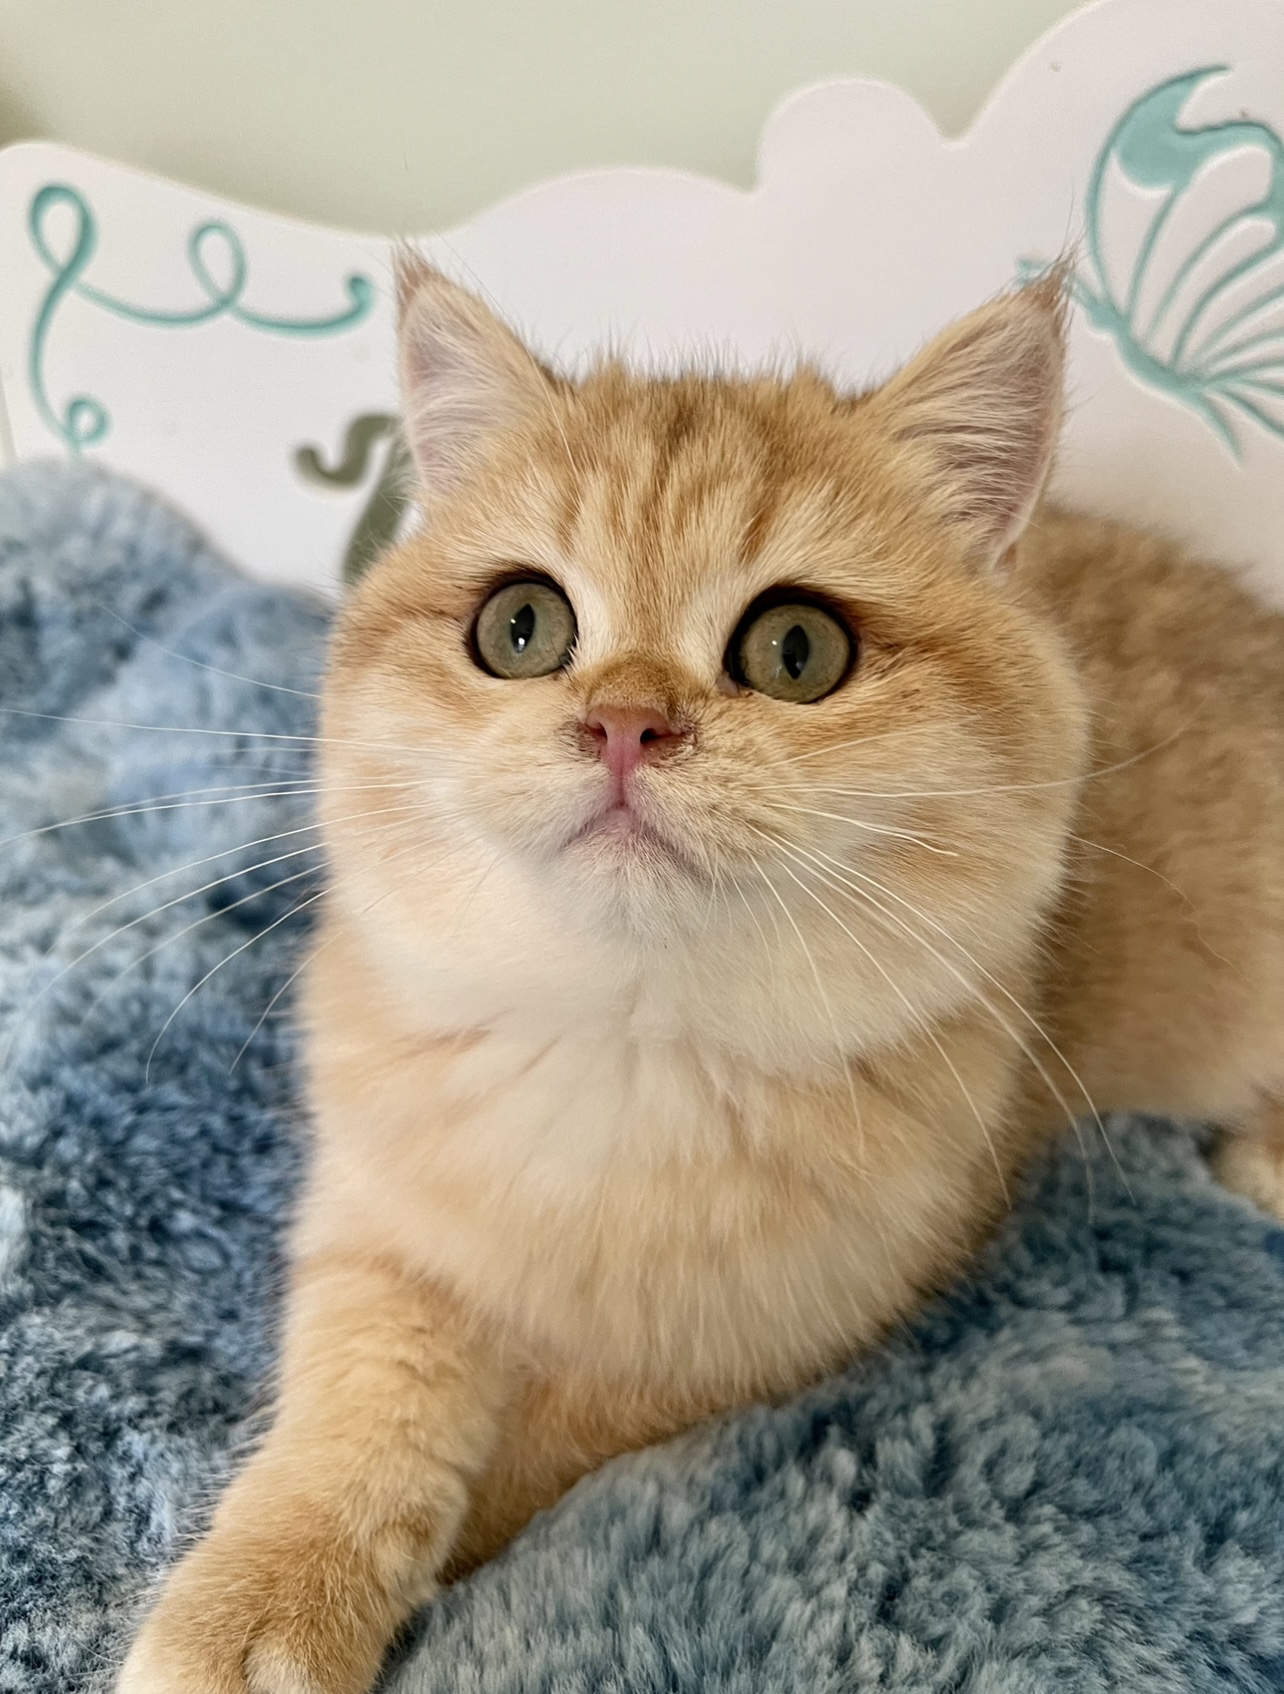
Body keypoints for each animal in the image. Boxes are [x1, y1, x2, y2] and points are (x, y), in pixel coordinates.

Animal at [118, 260, 1284, 1694]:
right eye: (521, 625)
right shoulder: (385, 1223)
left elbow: (537, 1448)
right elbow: (355, 1413)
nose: (626, 720)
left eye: (797, 649)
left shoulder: (761, 1337)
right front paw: (262, 1594)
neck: (623, 1033)